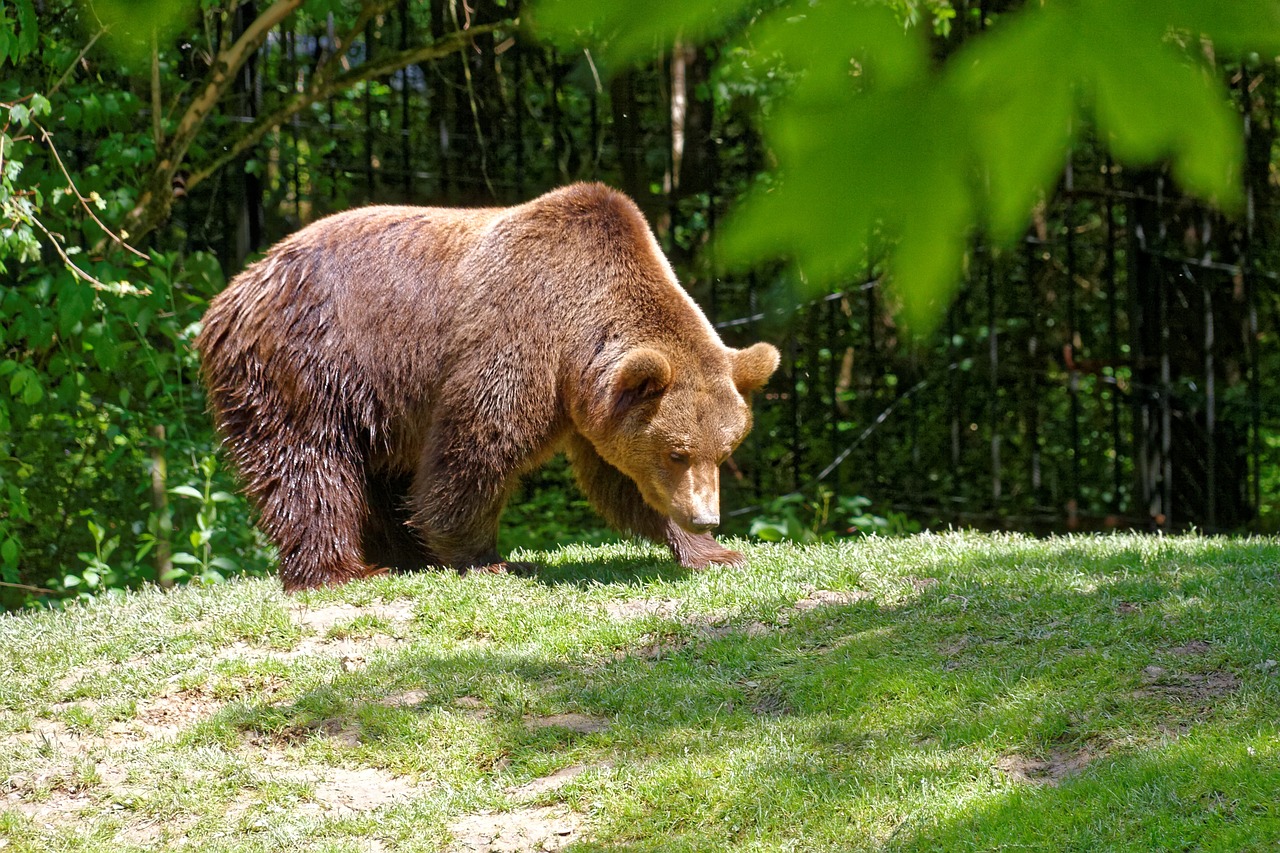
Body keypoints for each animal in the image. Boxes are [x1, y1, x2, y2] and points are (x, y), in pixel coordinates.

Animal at [197, 183, 778, 589]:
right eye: (678, 452)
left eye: (724, 450)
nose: (706, 515)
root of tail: (233, 291)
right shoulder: (519, 333)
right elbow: (478, 444)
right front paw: (488, 559)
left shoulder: (595, 404)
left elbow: (621, 480)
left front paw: (712, 552)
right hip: (310, 365)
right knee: (308, 466)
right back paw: (341, 570)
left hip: (377, 403)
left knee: (378, 474)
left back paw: (406, 557)